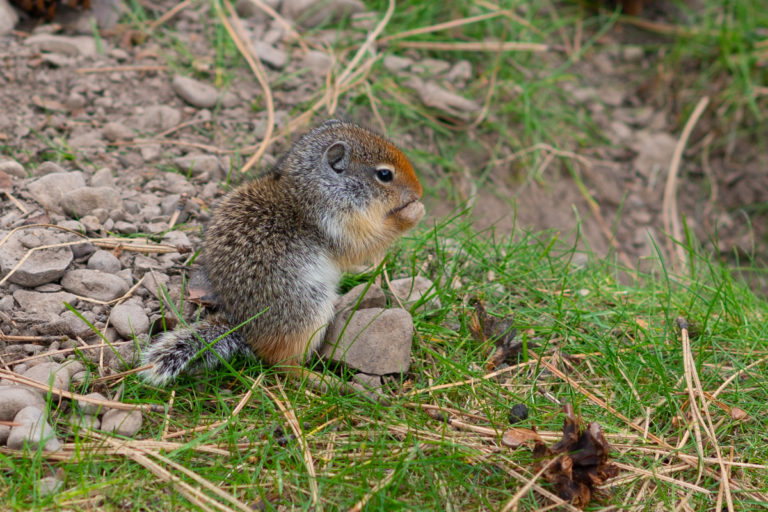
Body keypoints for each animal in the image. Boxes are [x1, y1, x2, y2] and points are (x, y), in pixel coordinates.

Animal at [140, 120, 426, 384]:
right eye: (385, 174)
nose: (420, 191)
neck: (314, 187)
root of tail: (245, 328)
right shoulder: (338, 223)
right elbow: (364, 243)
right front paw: (413, 213)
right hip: (310, 307)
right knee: (280, 362)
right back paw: (321, 379)